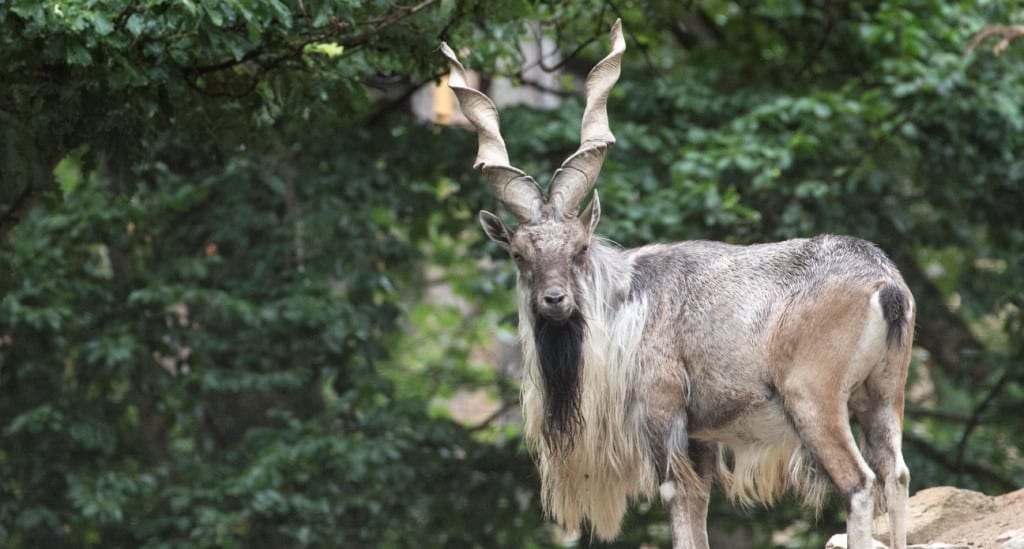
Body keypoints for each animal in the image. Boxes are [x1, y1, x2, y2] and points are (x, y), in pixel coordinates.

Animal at [440, 18, 913, 549]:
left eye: (579, 247)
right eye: (520, 255)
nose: (554, 300)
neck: (626, 305)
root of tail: (885, 285)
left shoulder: (663, 415)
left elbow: (679, 501)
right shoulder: (702, 436)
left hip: (815, 400)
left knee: (860, 484)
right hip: (883, 395)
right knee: (895, 474)